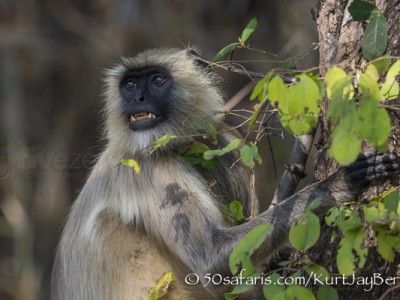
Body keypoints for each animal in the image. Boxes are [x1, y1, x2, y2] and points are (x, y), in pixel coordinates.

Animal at [51, 48, 398, 298]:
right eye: (130, 84)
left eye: (157, 81)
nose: (137, 98)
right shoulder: (149, 166)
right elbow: (212, 261)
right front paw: (335, 185)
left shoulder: (219, 142)